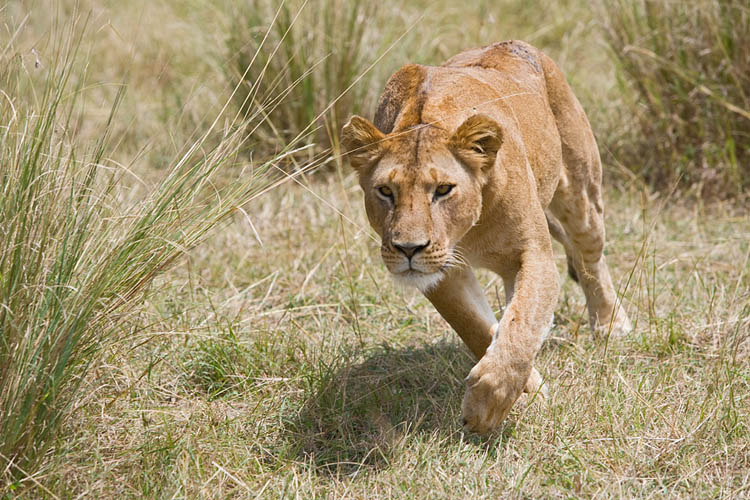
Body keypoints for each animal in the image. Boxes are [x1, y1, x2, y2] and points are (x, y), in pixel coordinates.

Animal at [341, 40, 632, 433]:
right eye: (385, 191)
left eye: (443, 190)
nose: (408, 249)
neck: (468, 232)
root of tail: (515, 44)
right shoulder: (443, 274)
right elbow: (479, 328)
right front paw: (526, 393)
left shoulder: (533, 253)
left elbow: (521, 326)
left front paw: (485, 407)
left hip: (581, 195)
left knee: (590, 261)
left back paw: (611, 325)